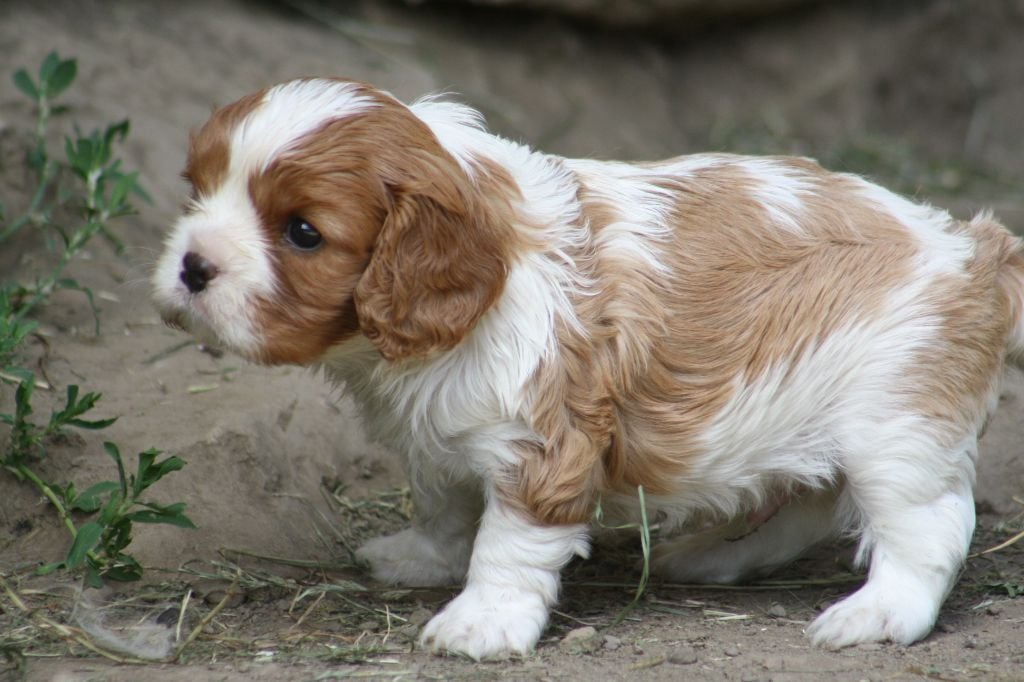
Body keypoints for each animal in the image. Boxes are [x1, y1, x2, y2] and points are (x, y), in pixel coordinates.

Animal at [155, 76, 1024, 655]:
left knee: (926, 526)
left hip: (897, 424)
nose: (192, 266)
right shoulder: (442, 434)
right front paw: (419, 559)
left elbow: (506, 543)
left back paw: (876, 615)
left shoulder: (542, 443)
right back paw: (712, 556)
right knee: (803, 503)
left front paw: (480, 621)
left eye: (303, 233)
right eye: (196, 193)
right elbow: (444, 506)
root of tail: (975, 246)